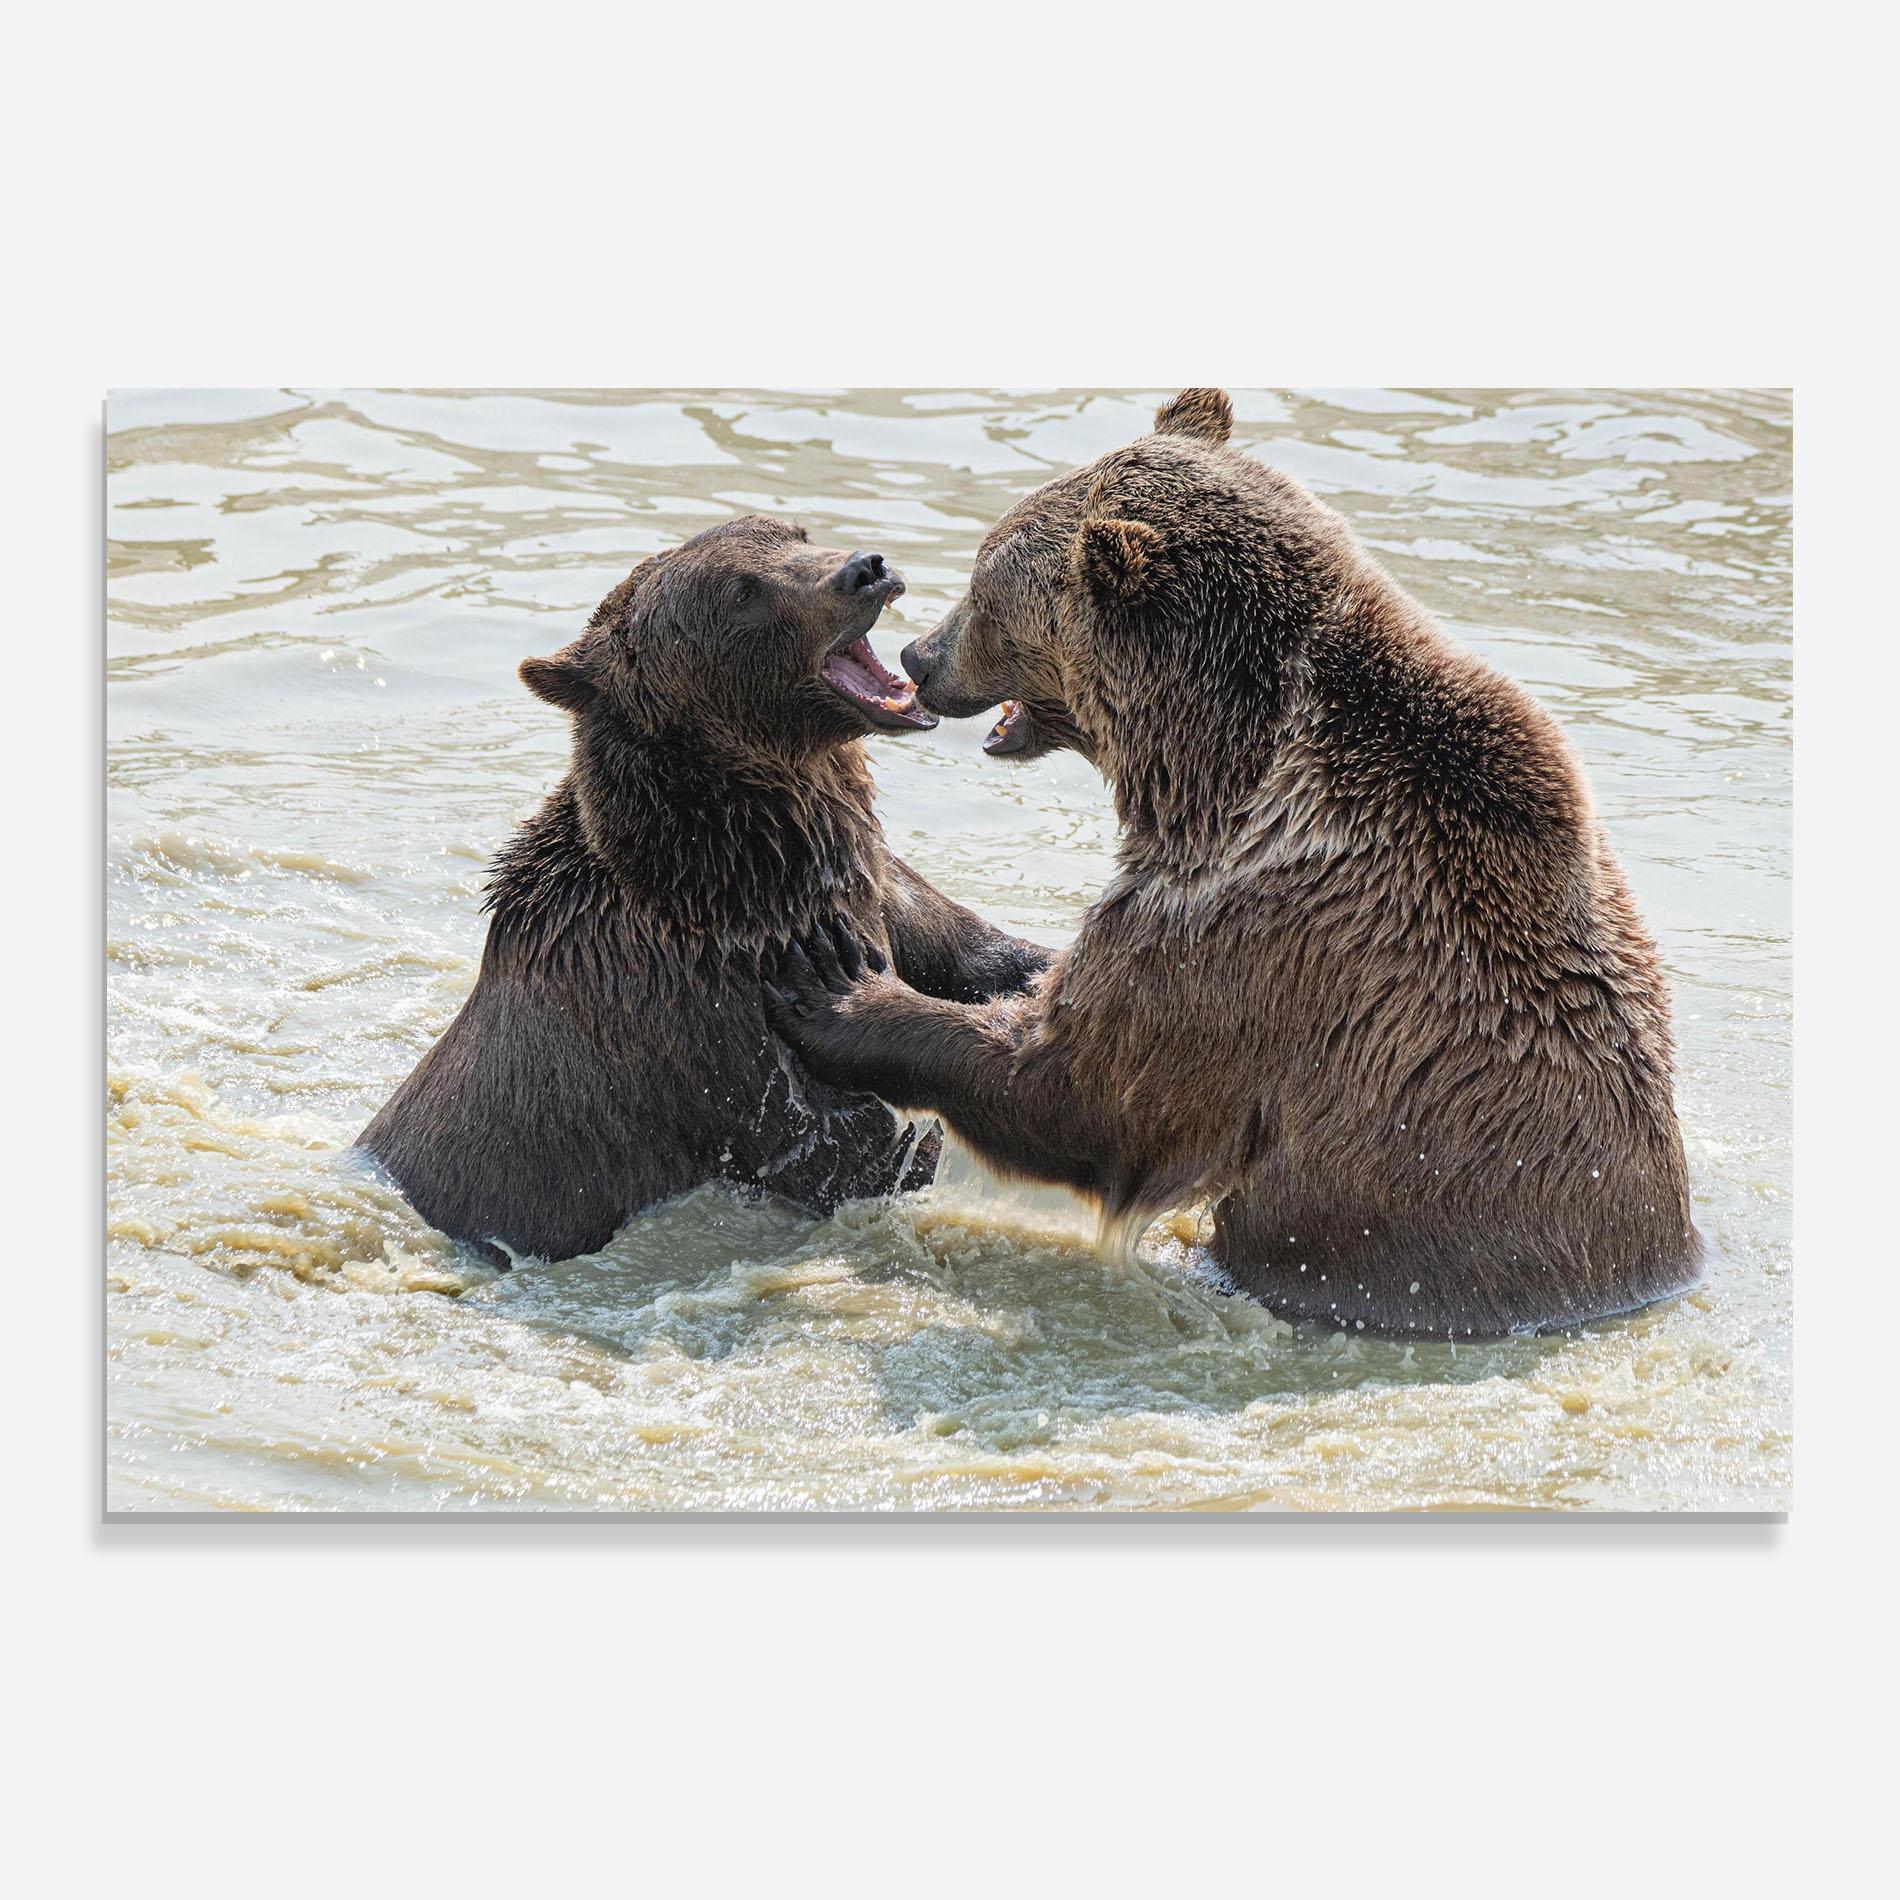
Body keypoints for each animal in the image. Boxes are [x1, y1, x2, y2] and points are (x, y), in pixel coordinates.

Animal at [358, 514, 1050, 1266]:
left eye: (794, 532)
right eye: (742, 591)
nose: (865, 569)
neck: (753, 876)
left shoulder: (877, 887)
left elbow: (979, 952)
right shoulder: (715, 1027)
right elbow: (852, 1152)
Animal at [762, 390, 1700, 1338]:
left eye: (986, 590)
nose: (920, 656)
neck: (1213, 767)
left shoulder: (1249, 930)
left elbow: (1082, 1088)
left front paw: (838, 989)